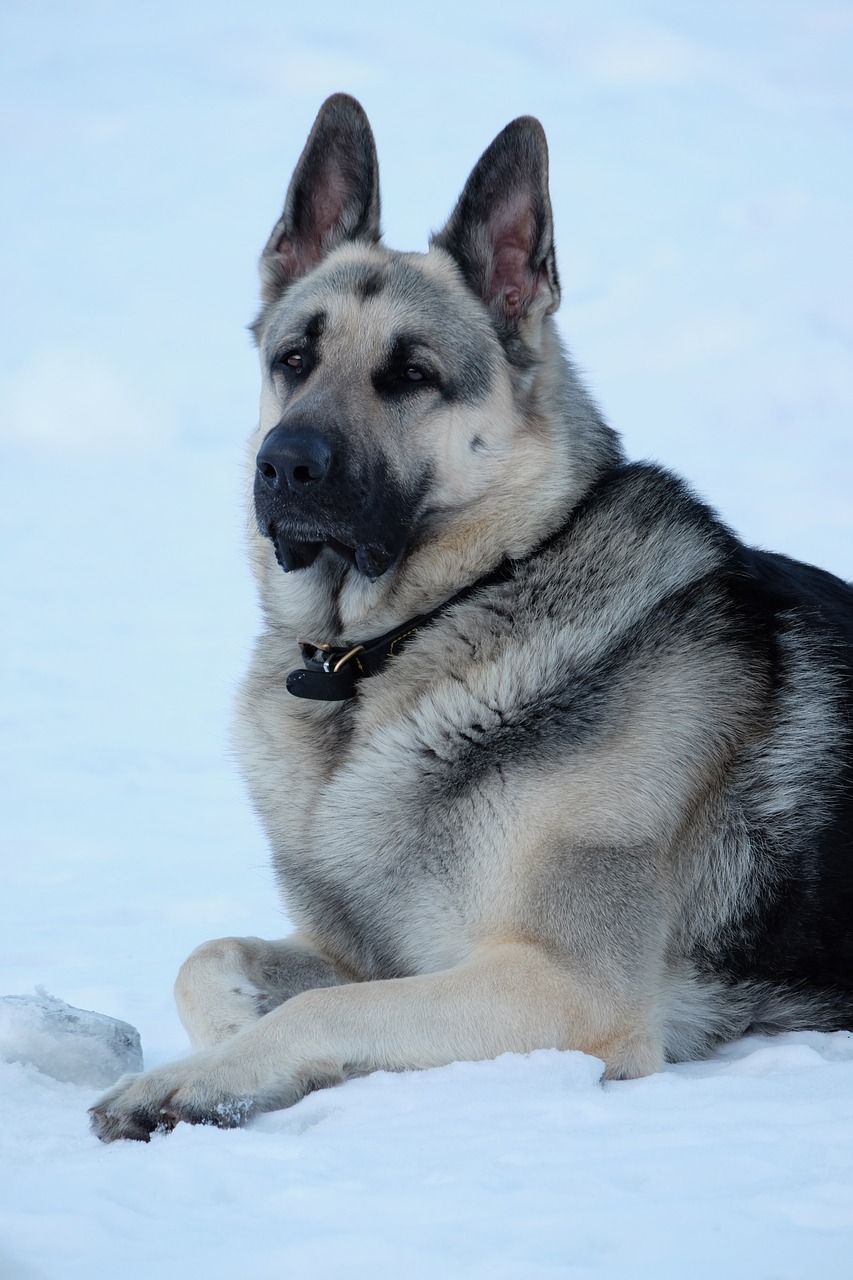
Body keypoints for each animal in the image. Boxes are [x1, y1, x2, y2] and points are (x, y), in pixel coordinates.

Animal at [89, 94, 845, 1146]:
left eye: (411, 375)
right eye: (293, 360)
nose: (281, 466)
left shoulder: (566, 987)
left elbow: (327, 1008)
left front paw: (195, 1079)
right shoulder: (369, 949)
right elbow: (209, 959)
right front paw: (230, 1045)